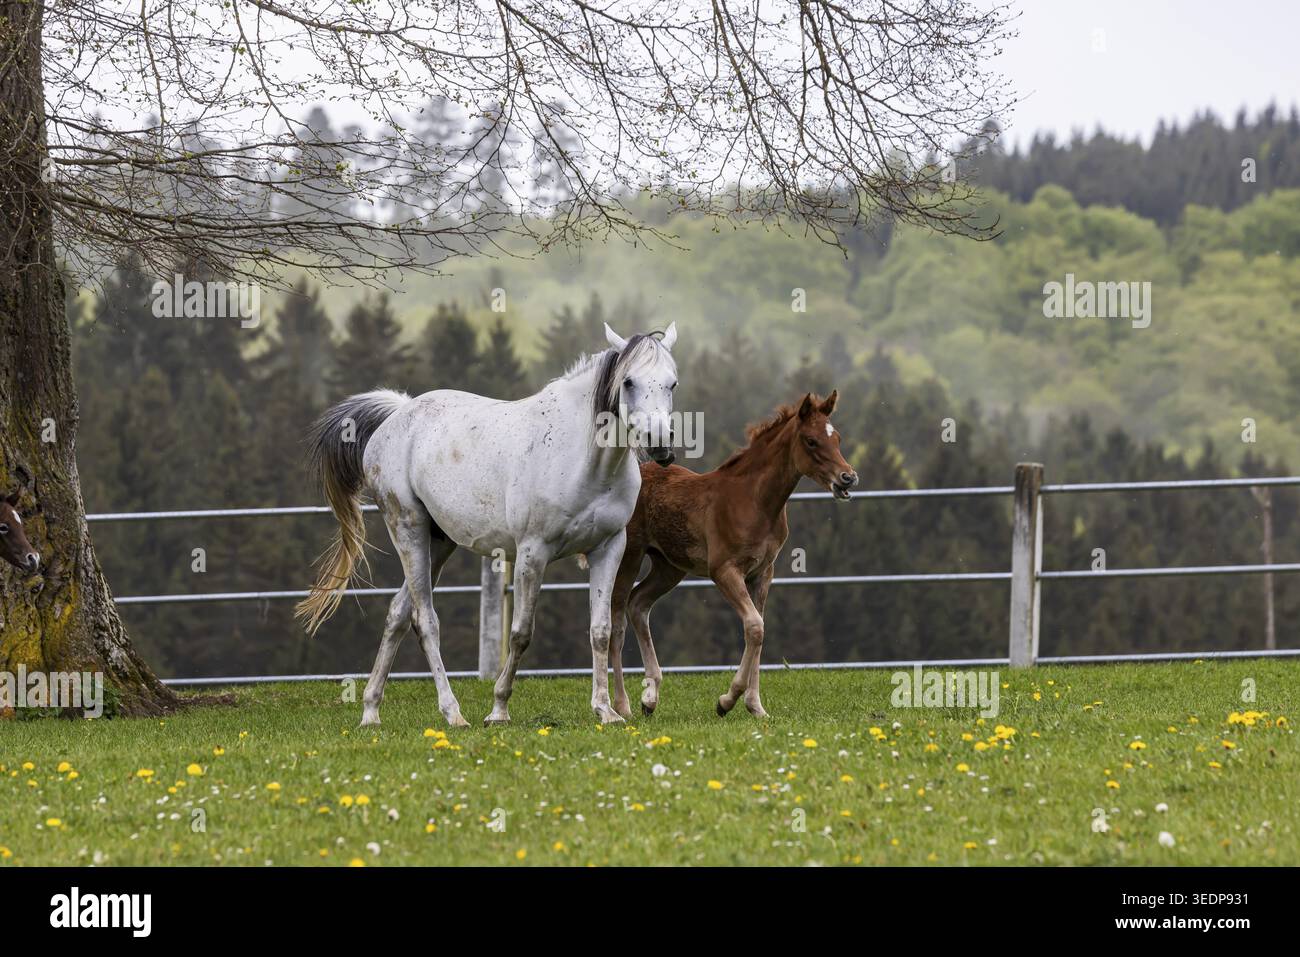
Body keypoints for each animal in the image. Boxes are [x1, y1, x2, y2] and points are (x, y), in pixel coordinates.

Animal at [296, 323, 680, 728]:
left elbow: (601, 630)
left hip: (439, 542)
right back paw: (453, 713)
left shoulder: (608, 550)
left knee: (398, 614)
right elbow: (520, 634)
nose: (660, 445)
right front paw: (498, 709)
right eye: (628, 381)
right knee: (424, 619)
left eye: (672, 383)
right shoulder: (532, 553)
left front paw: (606, 710)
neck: (581, 460)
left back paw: (371, 710)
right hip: (408, 530)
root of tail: (398, 414)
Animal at [609, 391, 857, 719]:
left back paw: (650, 697)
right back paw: (622, 706)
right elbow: (754, 626)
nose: (847, 478)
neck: (755, 501)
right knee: (616, 619)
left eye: (837, 438)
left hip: (669, 566)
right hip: (630, 556)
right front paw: (727, 700)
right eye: (811, 441)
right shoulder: (724, 570)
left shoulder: (763, 573)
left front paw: (756, 706)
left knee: (638, 604)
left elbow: (759, 630)